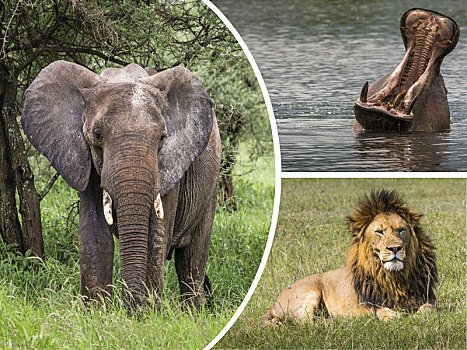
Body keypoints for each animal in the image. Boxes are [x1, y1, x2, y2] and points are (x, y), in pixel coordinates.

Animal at [20, 60, 221, 312]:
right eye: (97, 135)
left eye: (162, 137)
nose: (129, 307)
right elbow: (94, 236)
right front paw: (97, 314)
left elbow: (155, 238)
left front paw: (146, 314)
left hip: (211, 186)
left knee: (192, 259)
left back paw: (193, 313)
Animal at [266, 190, 438, 322]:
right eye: (380, 232)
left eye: (401, 230)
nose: (395, 248)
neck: (395, 278)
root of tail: (273, 304)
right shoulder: (370, 304)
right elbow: (382, 311)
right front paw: (395, 316)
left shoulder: (428, 297)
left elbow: (428, 308)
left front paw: (417, 316)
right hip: (309, 295)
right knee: (306, 323)